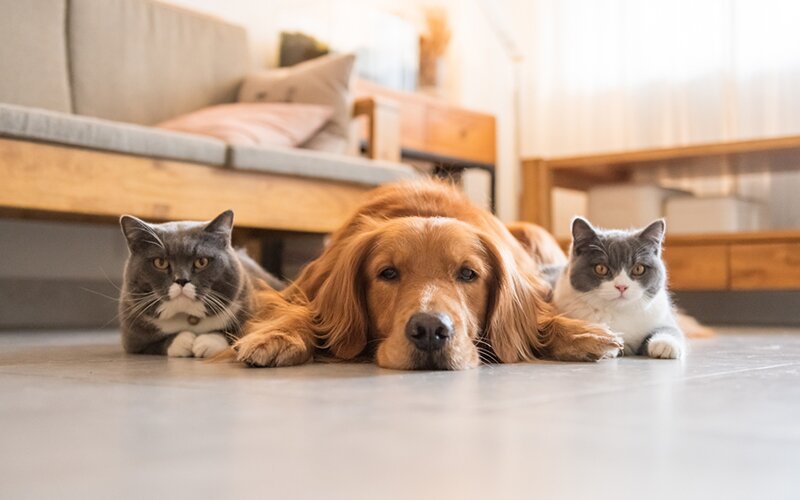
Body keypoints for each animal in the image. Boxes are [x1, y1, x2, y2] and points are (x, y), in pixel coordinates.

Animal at [117, 211, 282, 360]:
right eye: (160, 262)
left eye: (201, 262)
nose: (181, 280)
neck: (189, 316)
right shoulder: (132, 338)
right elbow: (154, 344)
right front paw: (183, 341)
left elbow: (237, 332)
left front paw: (206, 342)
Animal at [234, 182, 620, 370]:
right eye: (388, 273)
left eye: (468, 273)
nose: (431, 331)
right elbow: (301, 313)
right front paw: (276, 336)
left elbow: (542, 319)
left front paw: (582, 333)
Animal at [552, 217, 684, 358]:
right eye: (601, 268)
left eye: (639, 269)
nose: (622, 286)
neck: (619, 312)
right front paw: (604, 342)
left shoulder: (661, 315)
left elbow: (672, 329)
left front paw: (665, 344)